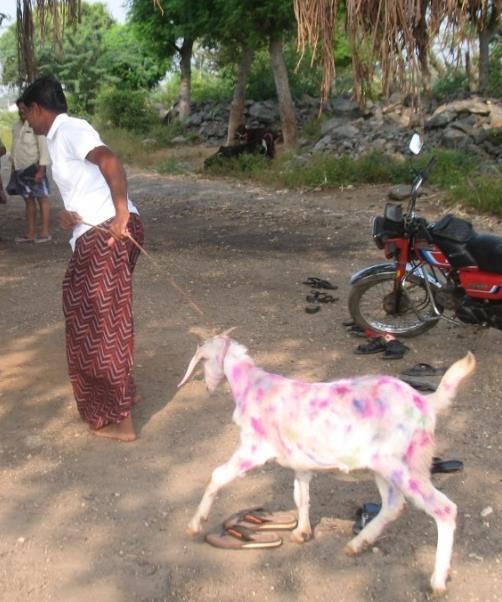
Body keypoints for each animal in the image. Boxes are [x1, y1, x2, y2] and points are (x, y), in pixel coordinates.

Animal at [179, 332, 474, 596]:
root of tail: (425, 402)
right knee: (393, 505)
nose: (207, 388)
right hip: (383, 467)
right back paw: (357, 544)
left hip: (403, 465)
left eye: (203, 361)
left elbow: (217, 475)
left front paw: (195, 524)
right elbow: (301, 497)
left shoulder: (253, 449)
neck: (252, 387)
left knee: (444, 508)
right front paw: (302, 532)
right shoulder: (300, 464)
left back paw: (437, 581)